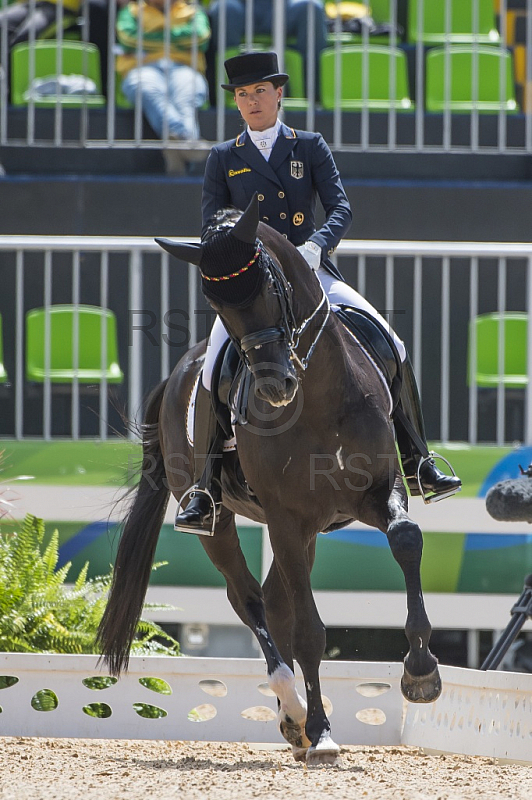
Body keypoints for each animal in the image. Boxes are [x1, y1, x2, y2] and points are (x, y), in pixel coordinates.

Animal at [97, 197, 442, 764]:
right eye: (215, 301)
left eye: (267, 286)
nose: (275, 386)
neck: (318, 396)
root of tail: (177, 373)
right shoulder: (285, 516)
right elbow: (308, 630)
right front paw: (322, 731)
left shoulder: (378, 491)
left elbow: (407, 540)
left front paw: (421, 673)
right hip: (223, 521)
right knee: (251, 601)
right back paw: (296, 712)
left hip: (305, 530)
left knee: (274, 600)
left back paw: (292, 720)